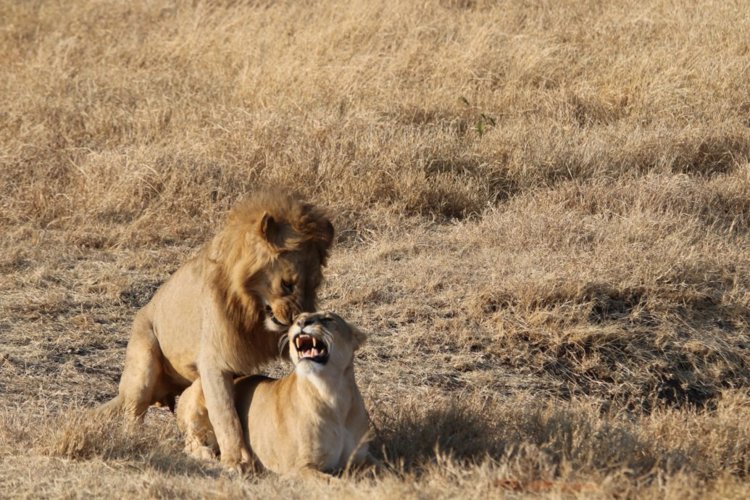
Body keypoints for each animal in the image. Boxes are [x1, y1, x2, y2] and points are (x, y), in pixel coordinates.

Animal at [99, 190, 334, 468]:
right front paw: (237, 460)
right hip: (142, 365)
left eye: (313, 287)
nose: (297, 319)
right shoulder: (215, 360)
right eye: (287, 284)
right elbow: (225, 414)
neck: (252, 309)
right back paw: (135, 439)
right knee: (133, 413)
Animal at [176, 311, 376, 478]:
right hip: (204, 391)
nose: (302, 323)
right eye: (297, 319)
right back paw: (214, 457)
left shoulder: (362, 458)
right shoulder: (297, 468)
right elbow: (333, 482)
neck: (332, 391)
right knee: (191, 446)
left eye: (328, 319)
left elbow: (380, 470)